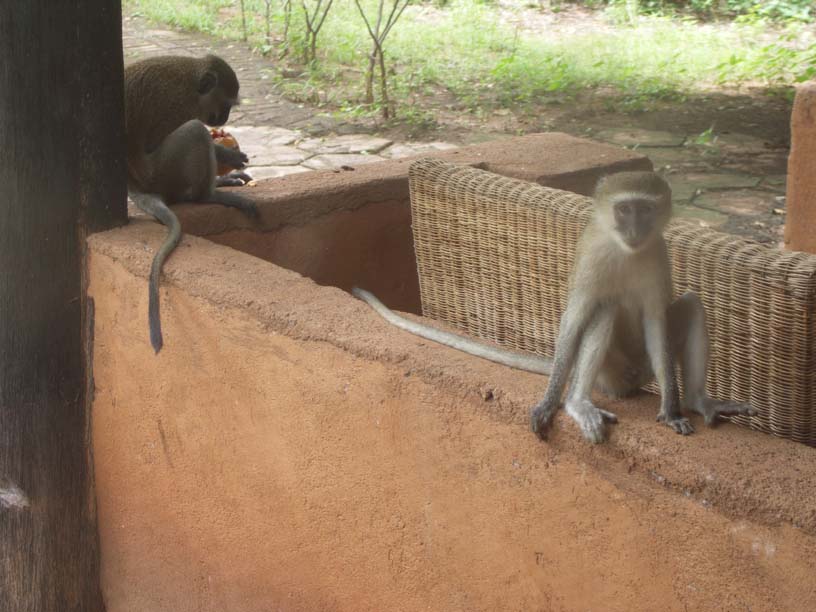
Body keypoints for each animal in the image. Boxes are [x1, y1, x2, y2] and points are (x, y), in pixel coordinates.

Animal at [126, 57, 258, 356]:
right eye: (226, 103)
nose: (224, 119)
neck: (190, 82)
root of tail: (137, 187)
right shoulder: (177, 105)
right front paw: (225, 153)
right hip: (165, 170)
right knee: (196, 130)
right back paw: (209, 194)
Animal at [354, 170, 756, 442]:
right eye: (624, 210)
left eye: (645, 210)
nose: (635, 229)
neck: (624, 250)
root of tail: (630, 382)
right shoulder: (591, 255)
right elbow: (576, 319)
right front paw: (549, 403)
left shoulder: (659, 253)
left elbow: (657, 324)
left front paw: (671, 410)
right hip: (613, 374)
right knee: (603, 311)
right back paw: (577, 401)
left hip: (643, 369)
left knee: (691, 306)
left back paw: (698, 400)